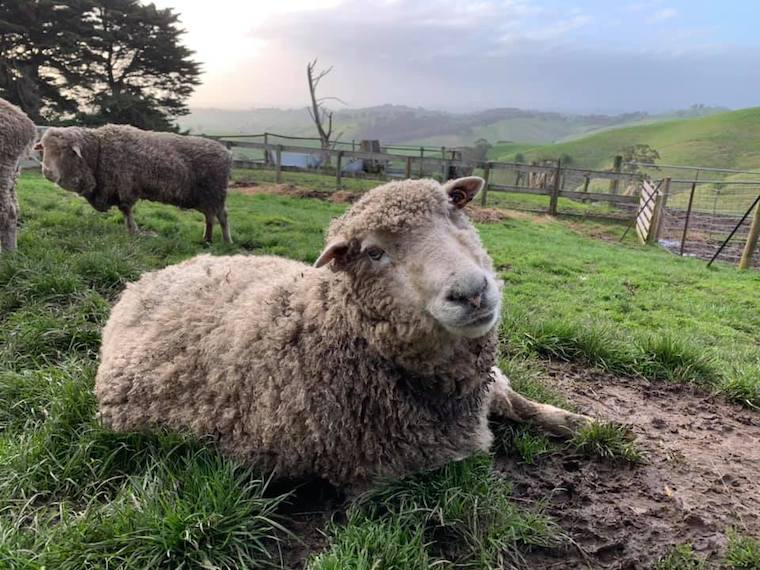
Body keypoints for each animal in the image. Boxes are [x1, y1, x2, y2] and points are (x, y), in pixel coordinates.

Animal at [36, 124, 232, 243]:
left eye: (64, 149)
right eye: (43, 149)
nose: (47, 172)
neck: (98, 152)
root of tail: (227, 153)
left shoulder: (125, 185)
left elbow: (126, 210)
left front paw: (133, 232)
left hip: (216, 192)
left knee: (222, 216)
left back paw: (226, 241)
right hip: (207, 197)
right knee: (210, 217)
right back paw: (207, 239)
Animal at [95, 176, 591, 490]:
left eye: (454, 214)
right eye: (374, 253)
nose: (471, 293)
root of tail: (148, 279)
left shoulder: (490, 390)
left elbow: (530, 406)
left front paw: (587, 424)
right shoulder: (391, 475)